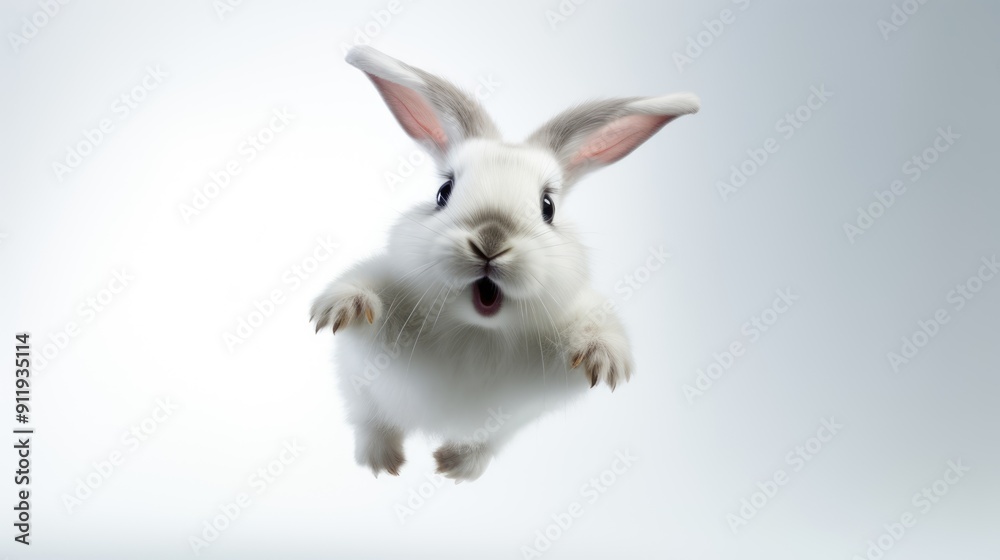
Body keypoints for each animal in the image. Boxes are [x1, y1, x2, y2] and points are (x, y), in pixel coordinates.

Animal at [311, 46, 699, 481]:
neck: (477, 332)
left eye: (547, 207)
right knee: (372, 424)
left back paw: (454, 466)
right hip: (358, 391)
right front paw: (344, 308)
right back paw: (383, 462)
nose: (490, 242)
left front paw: (604, 360)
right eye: (443, 192)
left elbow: (597, 327)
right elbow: (366, 286)